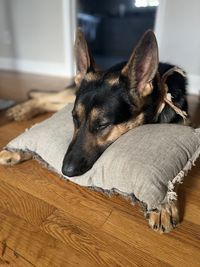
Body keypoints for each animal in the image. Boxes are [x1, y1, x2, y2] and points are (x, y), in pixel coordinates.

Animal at [0, 29, 189, 234]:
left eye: (102, 125)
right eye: (75, 118)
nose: (66, 171)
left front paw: (162, 204)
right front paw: (18, 150)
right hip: (67, 97)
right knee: (45, 99)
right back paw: (21, 111)